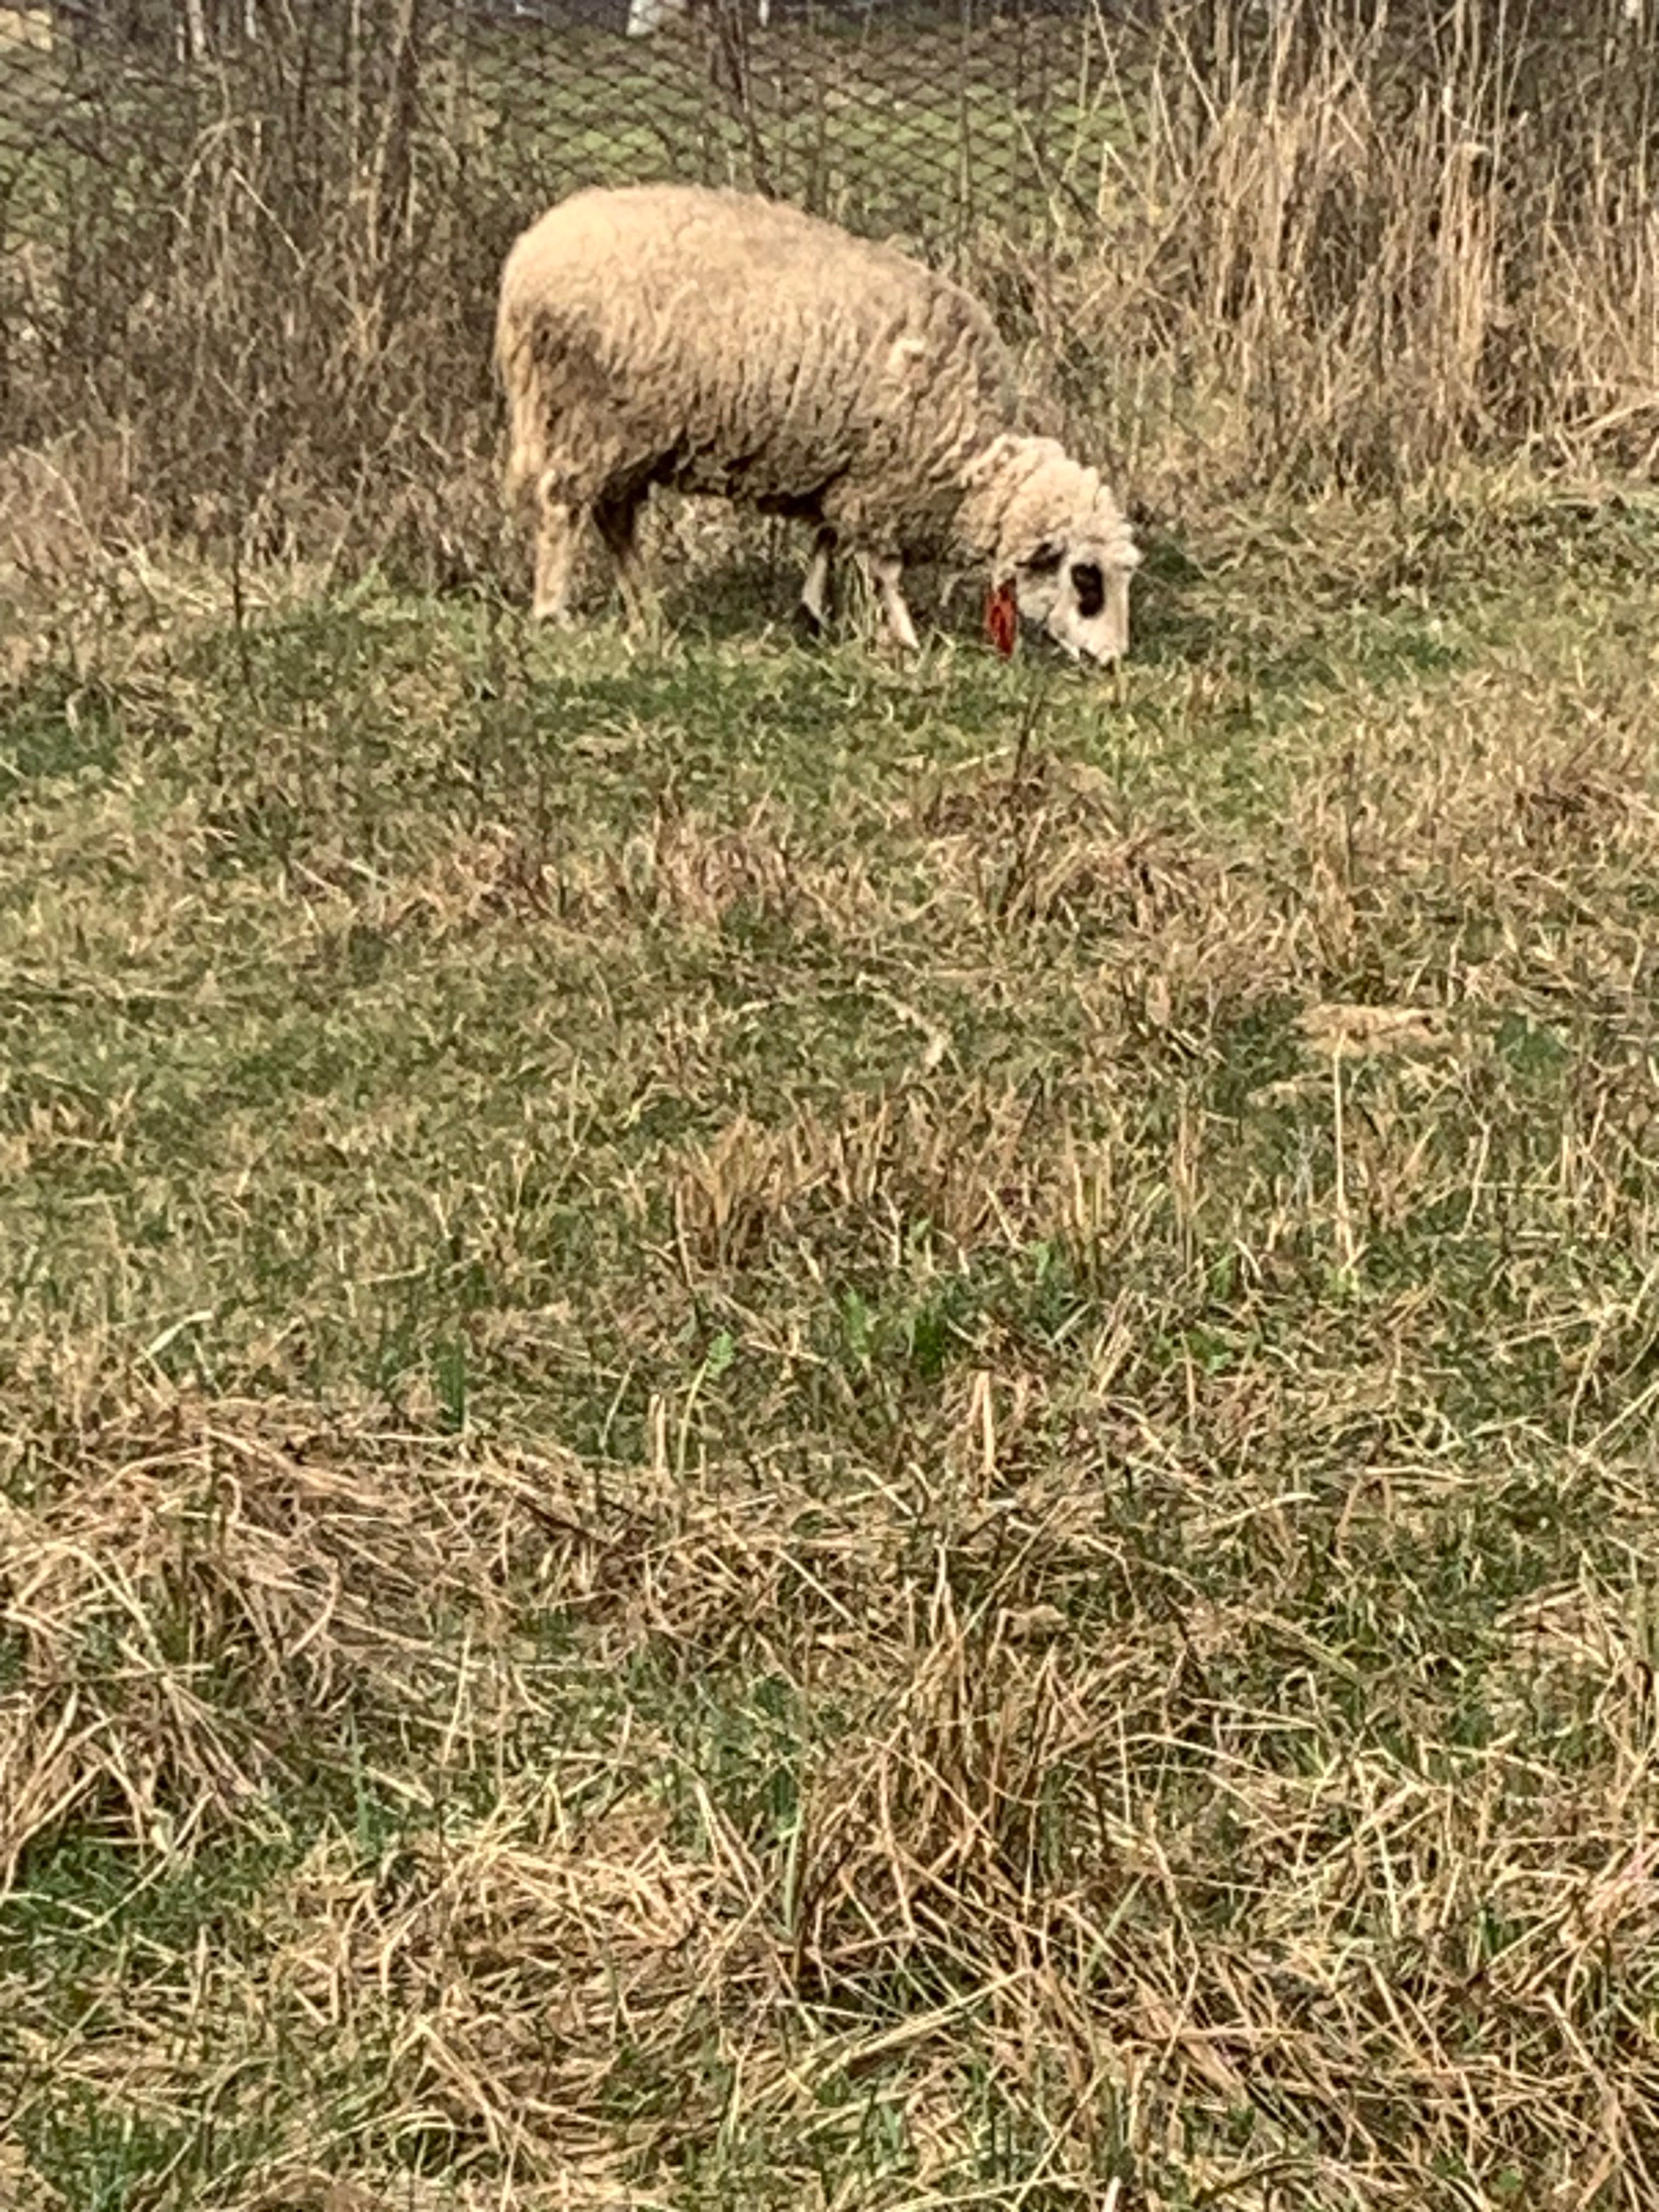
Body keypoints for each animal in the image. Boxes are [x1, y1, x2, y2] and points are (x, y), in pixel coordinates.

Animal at [493, 179, 1141, 663]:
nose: (1112, 661)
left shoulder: (846, 471)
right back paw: (554, 611)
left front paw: (810, 614)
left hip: (628, 438)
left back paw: (644, 610)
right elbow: (883, 568)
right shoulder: (882, 483)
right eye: (1086, 581)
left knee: (615, 519)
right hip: (585, 417)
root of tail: (527, 256)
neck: (967, 460)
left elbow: (827, 540)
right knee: (561, 506)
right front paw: (906, 639)